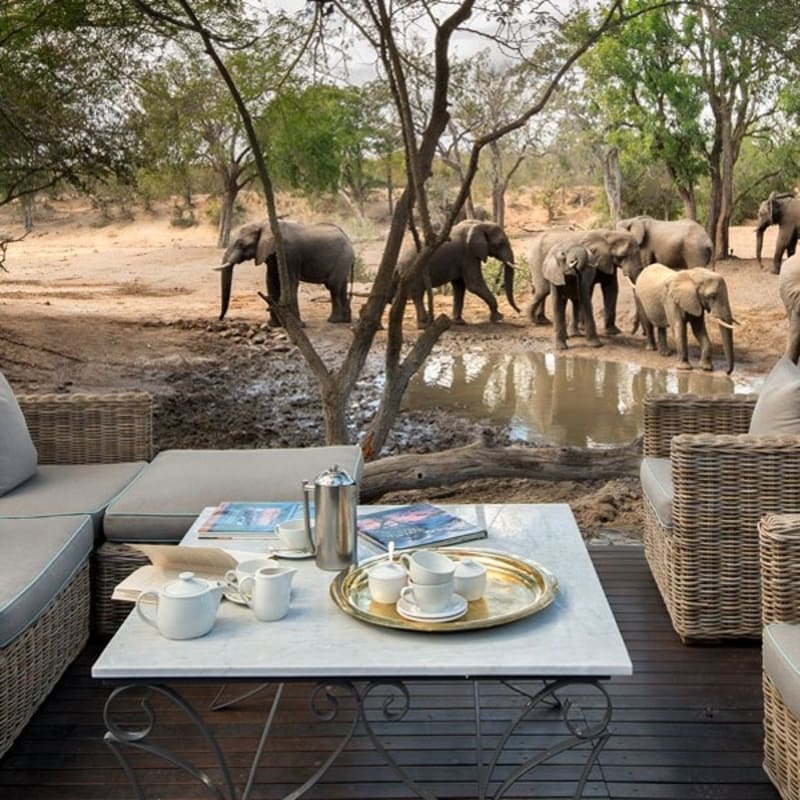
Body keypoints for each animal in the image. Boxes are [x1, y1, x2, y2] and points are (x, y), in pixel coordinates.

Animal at [217, 219, 354, 325]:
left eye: (240, 243)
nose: (221, 318)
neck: (263, 223)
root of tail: (348, 239)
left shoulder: (289, 254)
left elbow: (290, 283)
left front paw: (298, 325)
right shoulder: (271, 255)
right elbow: (271, 281)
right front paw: (273, 325)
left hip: (343, 257)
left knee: (333, 286)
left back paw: (333, 321)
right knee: (342, 286)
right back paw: (345, 321)